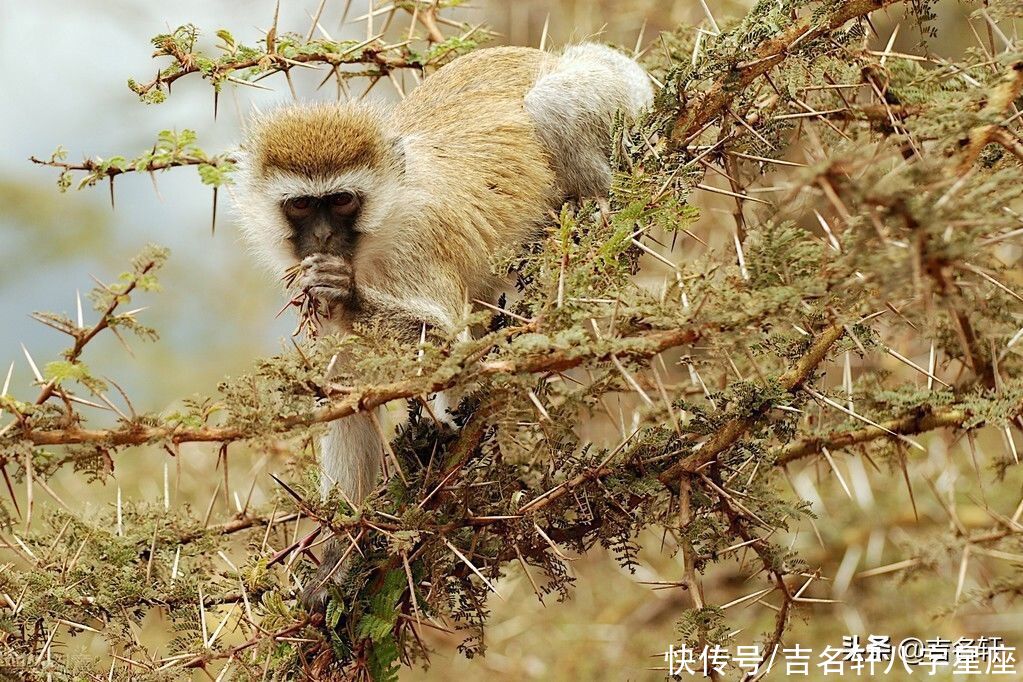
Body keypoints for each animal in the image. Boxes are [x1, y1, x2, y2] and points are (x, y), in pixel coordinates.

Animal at [234, 42, 646, 597]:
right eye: (301, 206)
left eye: (341, 200)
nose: (321, 238)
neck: (378, 234)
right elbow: (349, 397)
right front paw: (340, 556)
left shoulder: (419, 241)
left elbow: (451, 346)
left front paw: (345, 294)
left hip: (613, 87)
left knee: (553, 106)